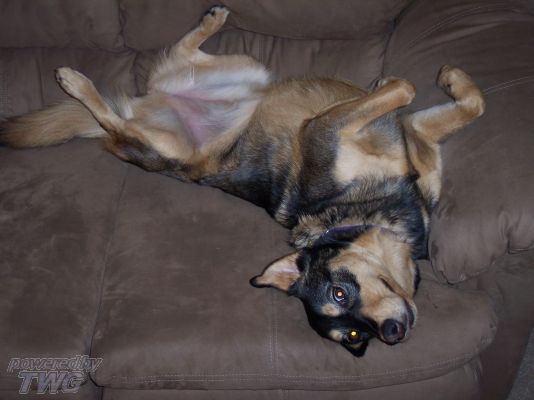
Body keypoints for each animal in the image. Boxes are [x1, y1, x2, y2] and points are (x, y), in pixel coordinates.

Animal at [0, 6, 485, 356]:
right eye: (341, 301)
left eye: (356, 337)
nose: (392, 332)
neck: (361, 215)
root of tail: (146, 104)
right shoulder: (323, 129)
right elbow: (403, 87)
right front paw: (395, 80)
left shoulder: (414, 138)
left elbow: (464, 105)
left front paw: (450, 78)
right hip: (164, 147)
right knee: (111, 122)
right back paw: (76, 82)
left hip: (249, 68)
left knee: (179, 58)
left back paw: (212, 21)